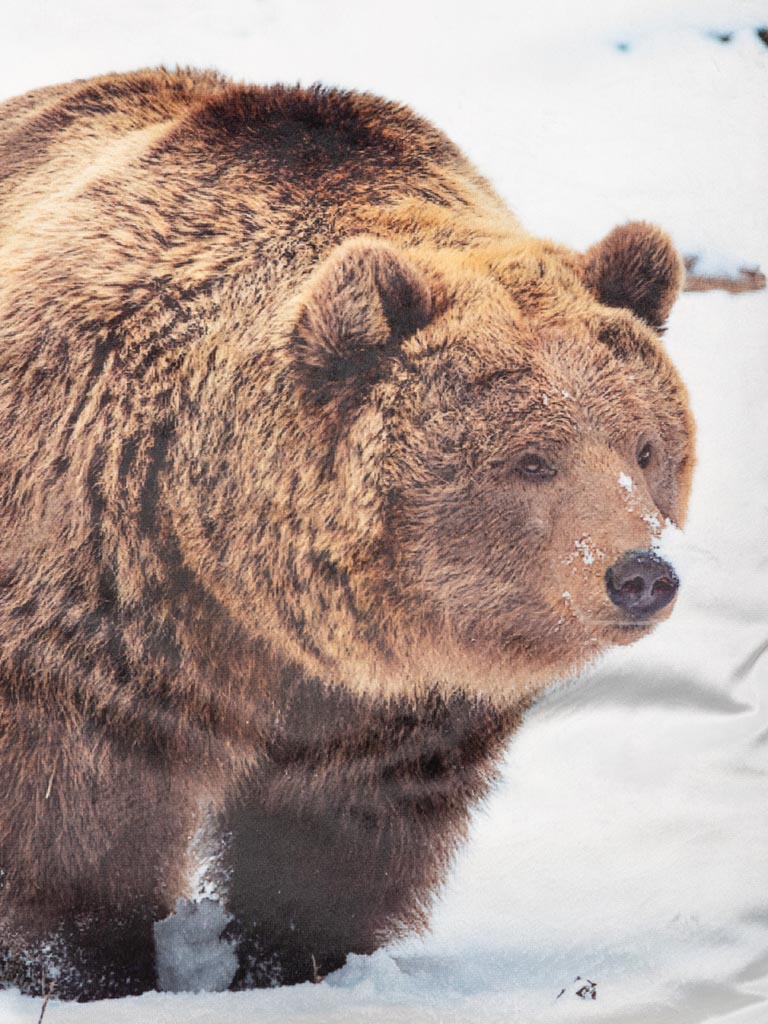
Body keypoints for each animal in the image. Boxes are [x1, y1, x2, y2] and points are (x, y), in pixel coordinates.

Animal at [0, 70, 696, 999]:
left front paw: (292, 961)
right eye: (531, 459)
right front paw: (88, 965)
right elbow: (76, 806)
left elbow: (340, 837)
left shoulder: (393, 703)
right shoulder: (98, 583)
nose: (639, 573)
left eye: (643, 447)